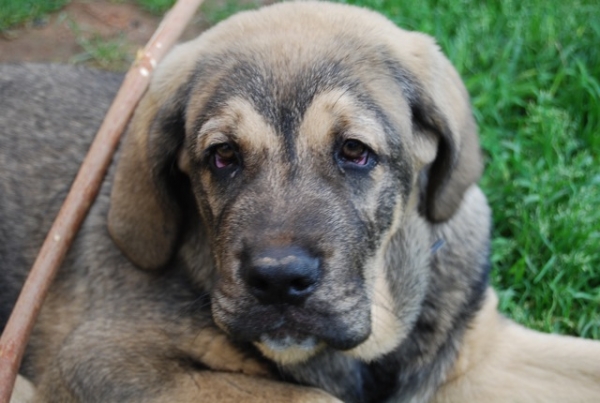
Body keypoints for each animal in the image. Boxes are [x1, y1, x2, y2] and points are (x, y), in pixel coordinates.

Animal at [1, 1, 600, 402]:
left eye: (355, 151)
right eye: (222, 156)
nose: (278, 281)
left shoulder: (479, 351)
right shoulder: (101, 361)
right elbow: (316, 397)